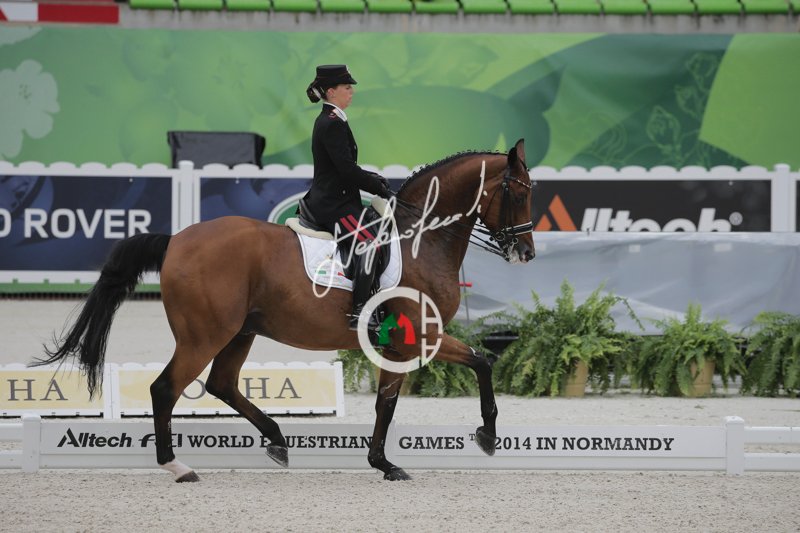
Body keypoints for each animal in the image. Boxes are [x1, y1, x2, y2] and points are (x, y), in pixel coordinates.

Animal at [38, 139, 535, 482]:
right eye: (517, 192)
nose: (526, 253)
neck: (422, 239)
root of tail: (176, 240)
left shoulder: (398, 345)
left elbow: (388, 403)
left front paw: (382, 462)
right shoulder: (420, 336)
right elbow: (480, 364)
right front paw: (485, 437)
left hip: (240, 332)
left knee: (221, 384)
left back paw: (276, 440)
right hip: (204, 335)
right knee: (165, 389)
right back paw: (178, 467)